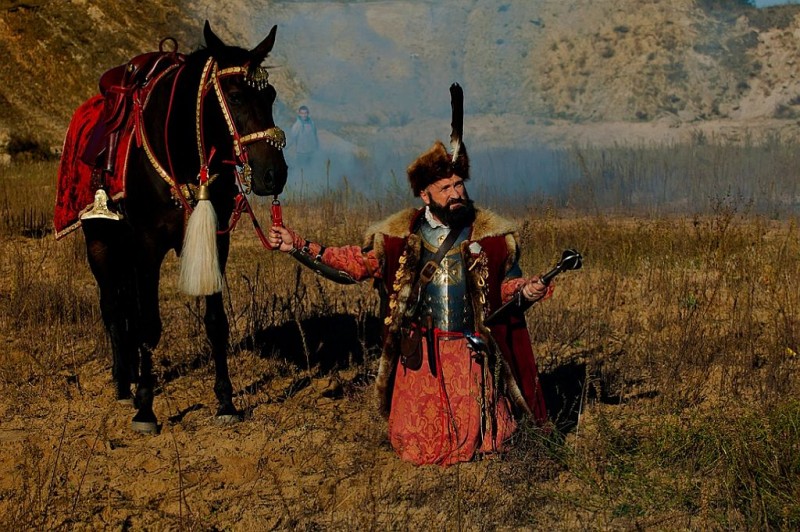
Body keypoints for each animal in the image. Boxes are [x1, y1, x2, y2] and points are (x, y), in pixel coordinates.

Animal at [60, 21, 288, 433]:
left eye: (271, 95)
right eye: (234, 96)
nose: (273, 174)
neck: (181, 154)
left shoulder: (216, 241)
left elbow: (215, 322)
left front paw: (226, 402)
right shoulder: (147, 246)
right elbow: (149, 324)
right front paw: (145, 409)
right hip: (99, 243)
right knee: (112, 306)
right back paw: (123, 382)